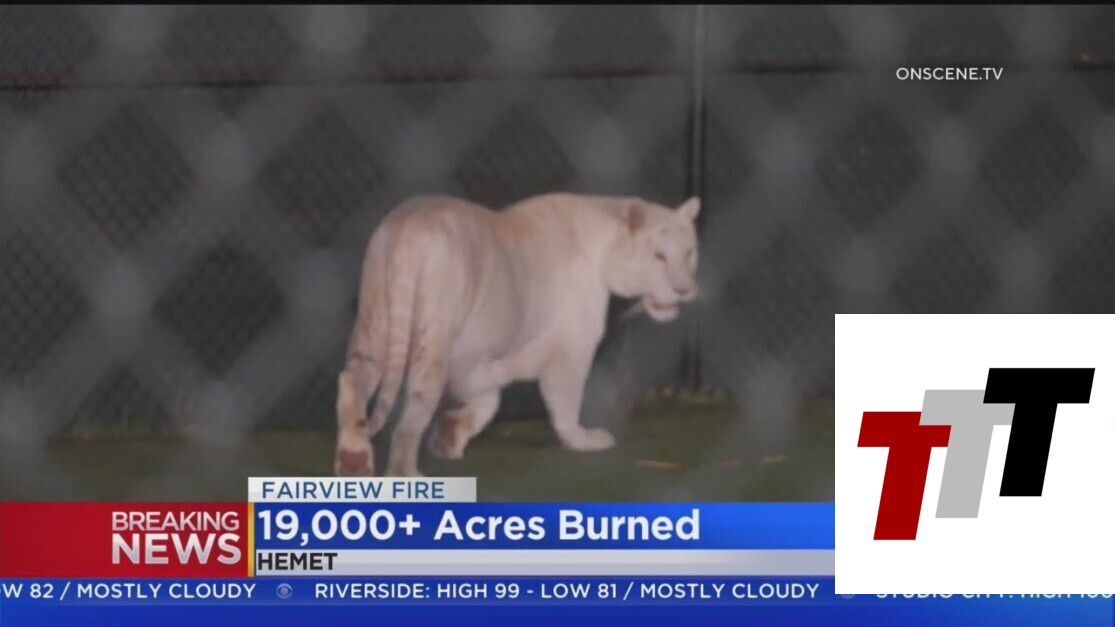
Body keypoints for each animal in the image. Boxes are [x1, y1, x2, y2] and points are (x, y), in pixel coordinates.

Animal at [334, 193, 700, 477]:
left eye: (689, 253)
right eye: (659, 256)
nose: (684, 291)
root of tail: (410, 226)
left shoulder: (478, 358)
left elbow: (489, 401)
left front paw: (449, 437)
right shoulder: (572, 347)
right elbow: (564, 399)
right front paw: (581, 440)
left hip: (375, 322)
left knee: (353, 380)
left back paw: (353, 460)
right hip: (431, 337)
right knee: (414, 409)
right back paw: (406, 474)